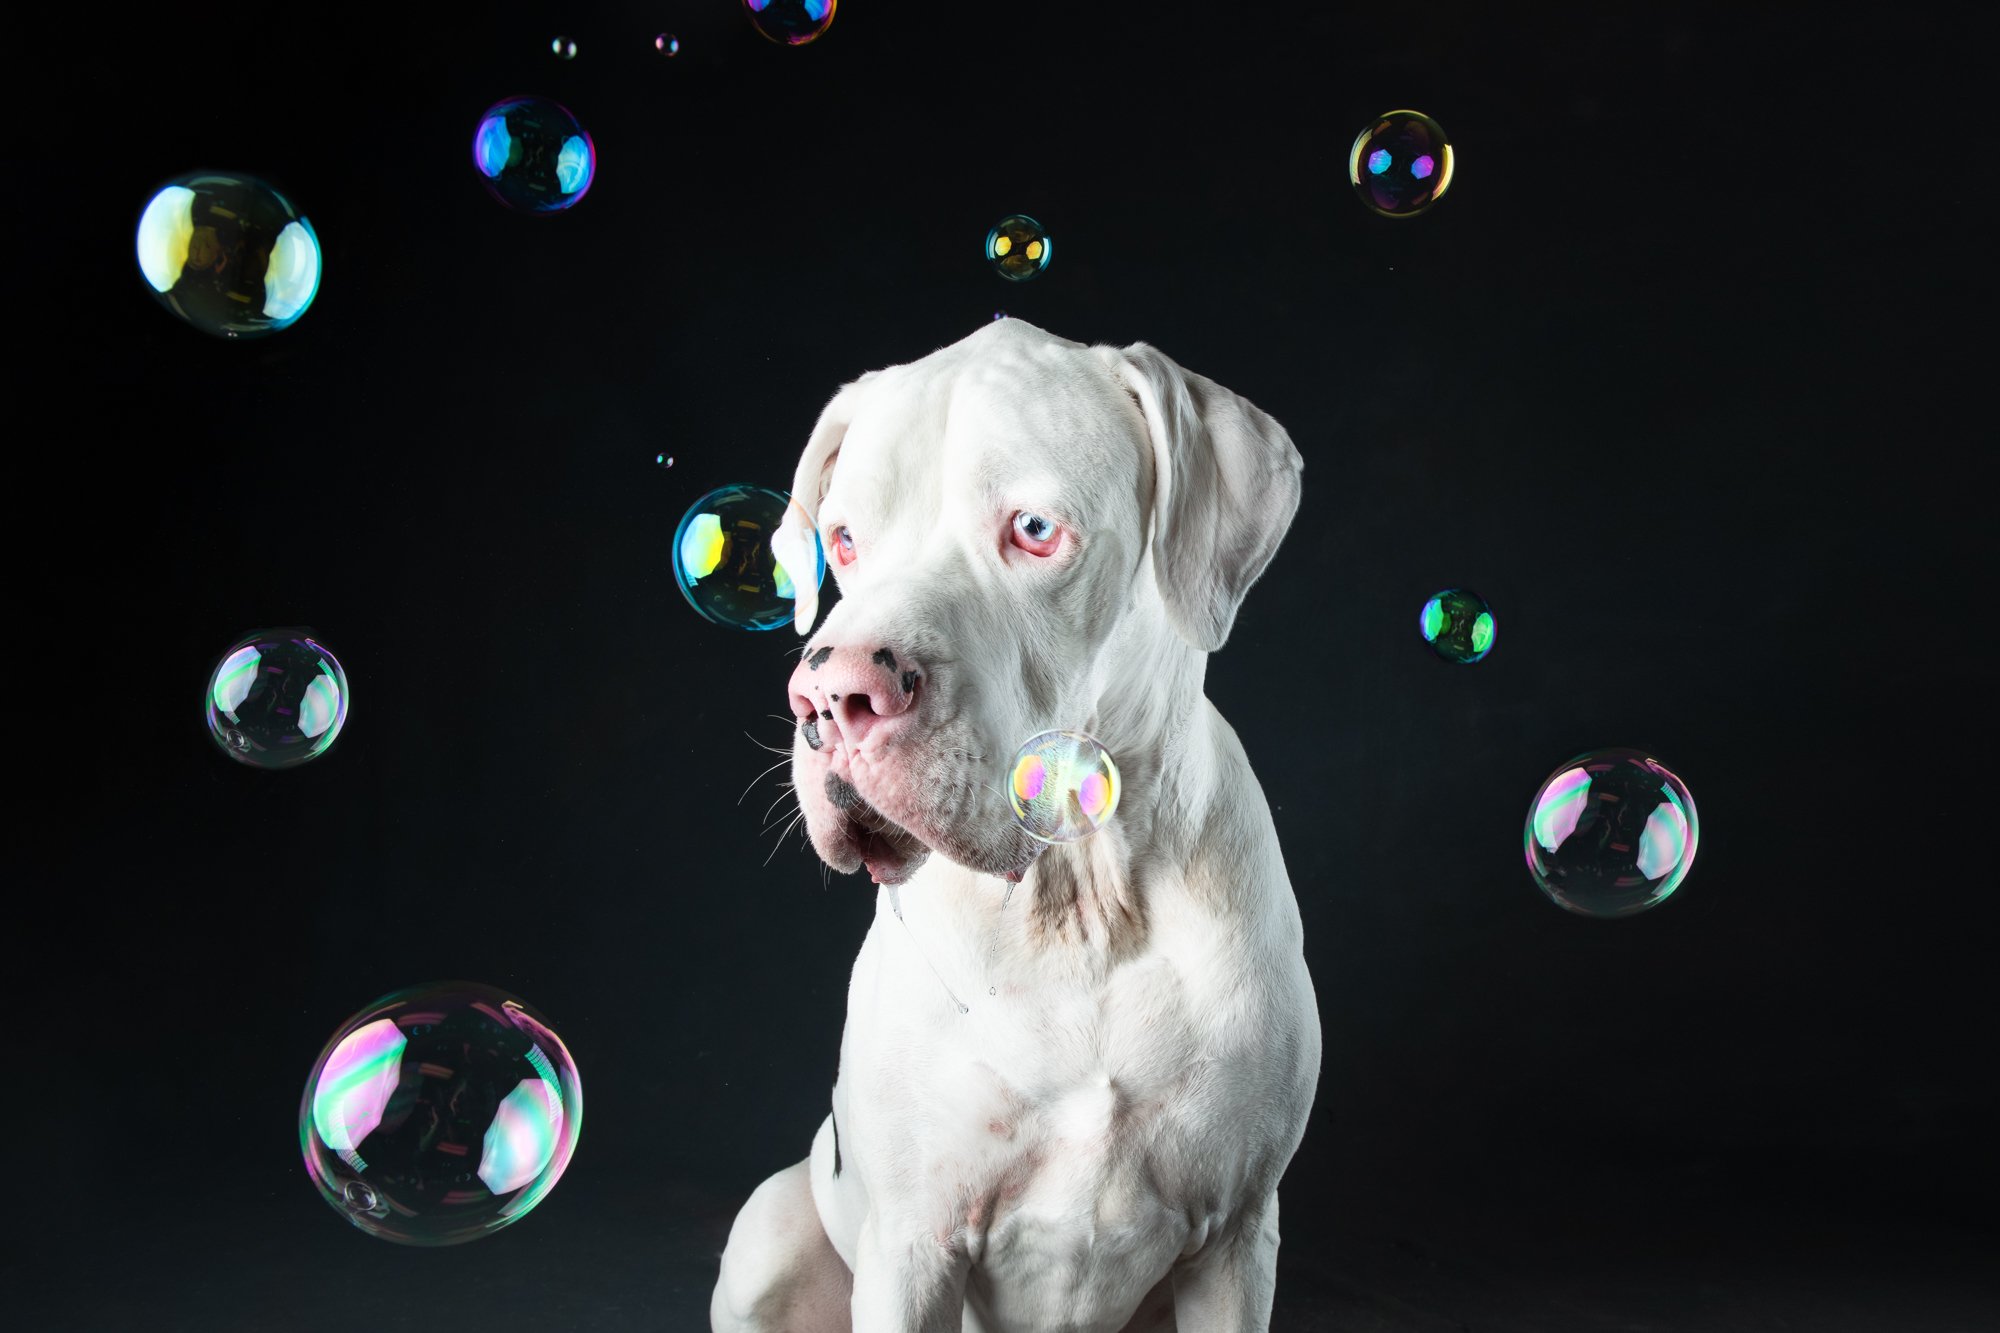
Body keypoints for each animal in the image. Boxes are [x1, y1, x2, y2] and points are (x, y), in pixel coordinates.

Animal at [712, 316, 1320, 1320]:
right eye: (844, 540)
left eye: (1034, 531)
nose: (834, 695)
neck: (1079, 903)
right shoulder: (912, 1247)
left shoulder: (1235, 1240)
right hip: (769, 1226)